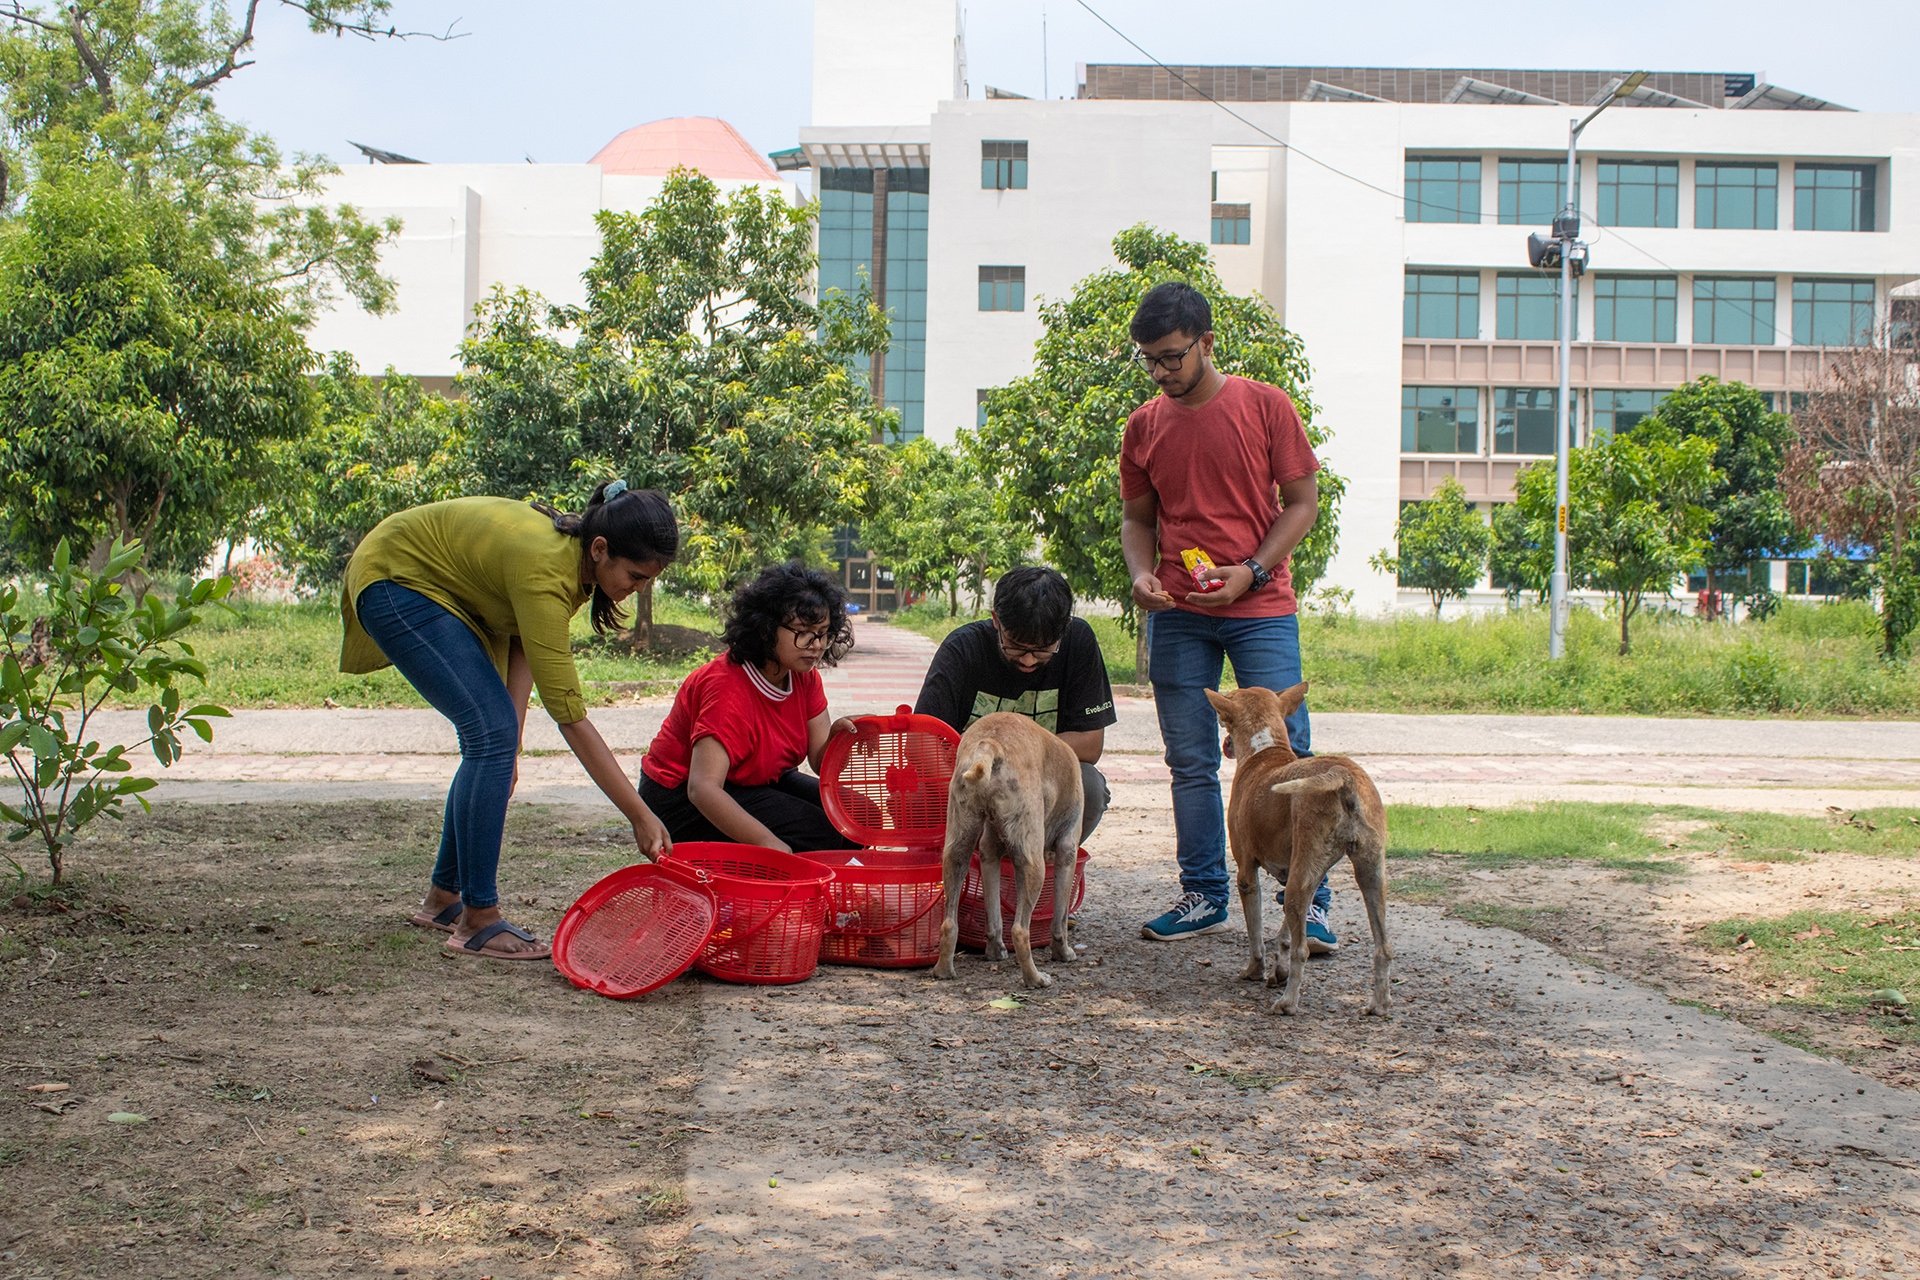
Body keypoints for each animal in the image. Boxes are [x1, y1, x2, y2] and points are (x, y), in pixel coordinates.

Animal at [929, 710, 1082, 990]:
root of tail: (991, 744)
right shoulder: (1067, 851)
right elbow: (1061, 918)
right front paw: (1063, 953)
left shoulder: (989, 854)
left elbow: (994, 914)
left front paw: (995, 950)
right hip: (1034, 864)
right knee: (1020, 930)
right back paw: (1035, 978)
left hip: (958, 843)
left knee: (949, 922)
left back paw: (944, 970)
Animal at [1205, 687, 1390, 1013]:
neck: (1265, 750)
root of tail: (1343, 775)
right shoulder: (1298, 876)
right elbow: (1284, 936)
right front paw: (1279, 969)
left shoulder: (1247, 874)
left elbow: (1257, 934)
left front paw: (1255, 970)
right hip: (1367, 875)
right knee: (1383, 947)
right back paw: (1378, 1004)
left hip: (1299, 883)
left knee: (1303, 950)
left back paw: (1288, 1002)